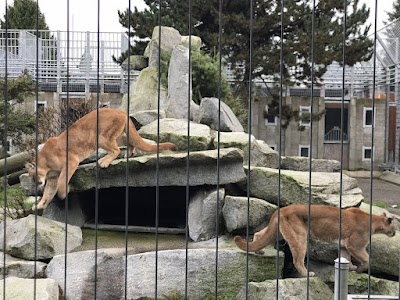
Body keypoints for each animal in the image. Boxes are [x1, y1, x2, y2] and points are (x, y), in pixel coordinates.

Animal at [26, 107, 177, 211]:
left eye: (33, 176)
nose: (37, 183)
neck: (46, 162)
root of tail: (122, 112)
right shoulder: (52, 178)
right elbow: (48, 192)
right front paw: (39, 205)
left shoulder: (71, 161)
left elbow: (63, 180)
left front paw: (63, 193)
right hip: (116, 136)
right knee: (129, 141)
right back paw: (128, 154)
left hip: (101, 137)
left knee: (116, 150)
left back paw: (104, 161)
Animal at [234, 204, 396, 276]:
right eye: (395, 225)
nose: (395, 233)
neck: (373, 221)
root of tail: (282, 209)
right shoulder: (354, 245)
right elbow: (367, 258)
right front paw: (360, 269)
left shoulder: (345, 245)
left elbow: (346, 257)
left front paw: (350, 267)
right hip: (299, 236)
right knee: (297, 260)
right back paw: (307, 274)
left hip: (278, 232)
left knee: (259, 234)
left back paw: (259, 251)